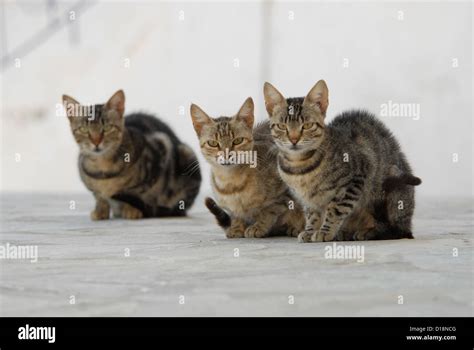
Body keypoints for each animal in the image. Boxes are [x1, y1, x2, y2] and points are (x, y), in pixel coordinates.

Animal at [62, 89, 200, 219]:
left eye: (107, 127)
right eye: (84, 129)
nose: (96, 142)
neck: (103, 168)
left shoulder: (161, 148)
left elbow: (134, 192)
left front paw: (131, 210)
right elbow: (99, 196)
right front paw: (100, 211)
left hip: (187, 156)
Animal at [189, 98, 304, 238]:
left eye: (238, 141)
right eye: (213, 143)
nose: (227, 154)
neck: (231, 183)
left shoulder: (286, 190)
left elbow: (269, 211)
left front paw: (259, 226)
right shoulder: (232, 208)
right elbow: (236, 215)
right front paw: (236, 227)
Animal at [262, 80, 422, 242]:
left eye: (307, 125)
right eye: (282, 126)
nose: (294, 139)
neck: (299, 166)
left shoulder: (356, 179)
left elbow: (335, 210)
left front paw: (325, 231)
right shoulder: (305, 198)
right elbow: (311, 214)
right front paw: (309, 230)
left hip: (394, 191)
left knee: (396, 230)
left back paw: (368, 232)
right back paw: (345, 233)